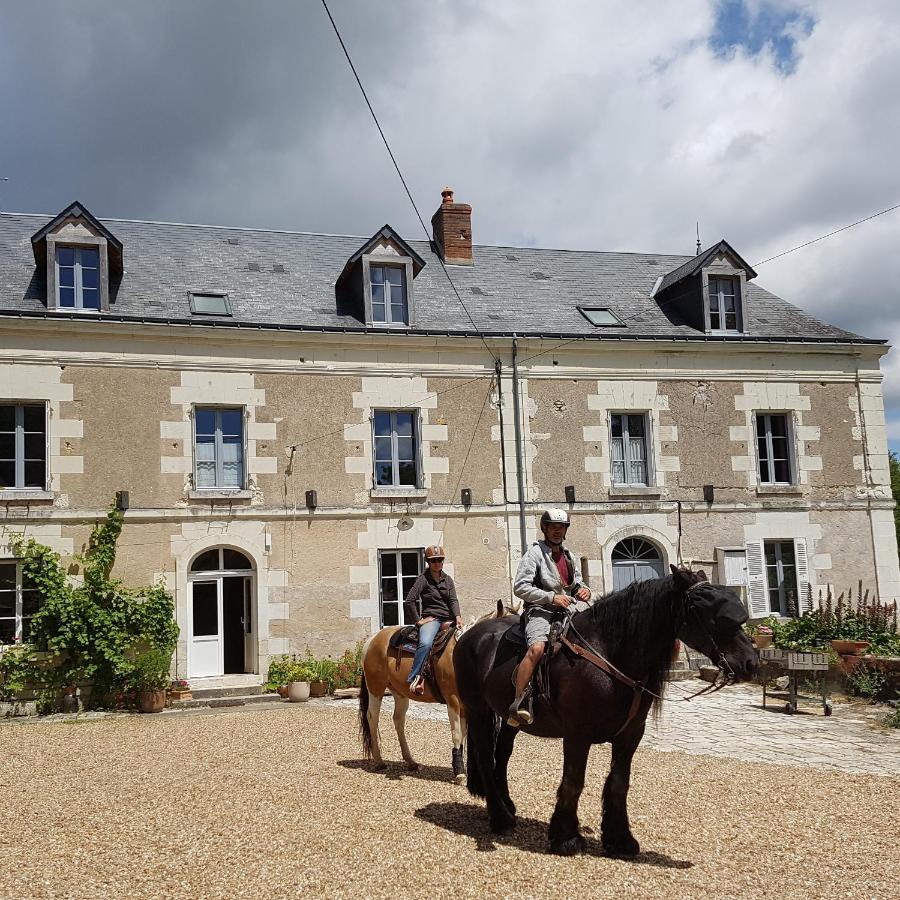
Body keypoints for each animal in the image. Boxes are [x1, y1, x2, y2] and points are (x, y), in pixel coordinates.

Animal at [358, 600, 512, 784]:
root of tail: (372, 640)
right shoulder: (453, 701)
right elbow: (457, 734)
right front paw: (459, 772)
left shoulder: (467, 705)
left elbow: (465, 734)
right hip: (376, 688)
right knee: (372, 717)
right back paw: (379, 761)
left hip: (399, 692)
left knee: (398, 719)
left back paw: (411, 761)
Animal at [454, 568, 756, 856]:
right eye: (711, 613)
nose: (751, 663)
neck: (607, 654)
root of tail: (471, 634)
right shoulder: (577, 734)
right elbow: (574, 781)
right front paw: (566, 838)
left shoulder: (631, 734)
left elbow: (619, 783)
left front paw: (620, 840)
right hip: (478, 710)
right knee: (484, 757)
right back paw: (500, 818)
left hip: (509, 719)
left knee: (502, 755)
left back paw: (508, 807)